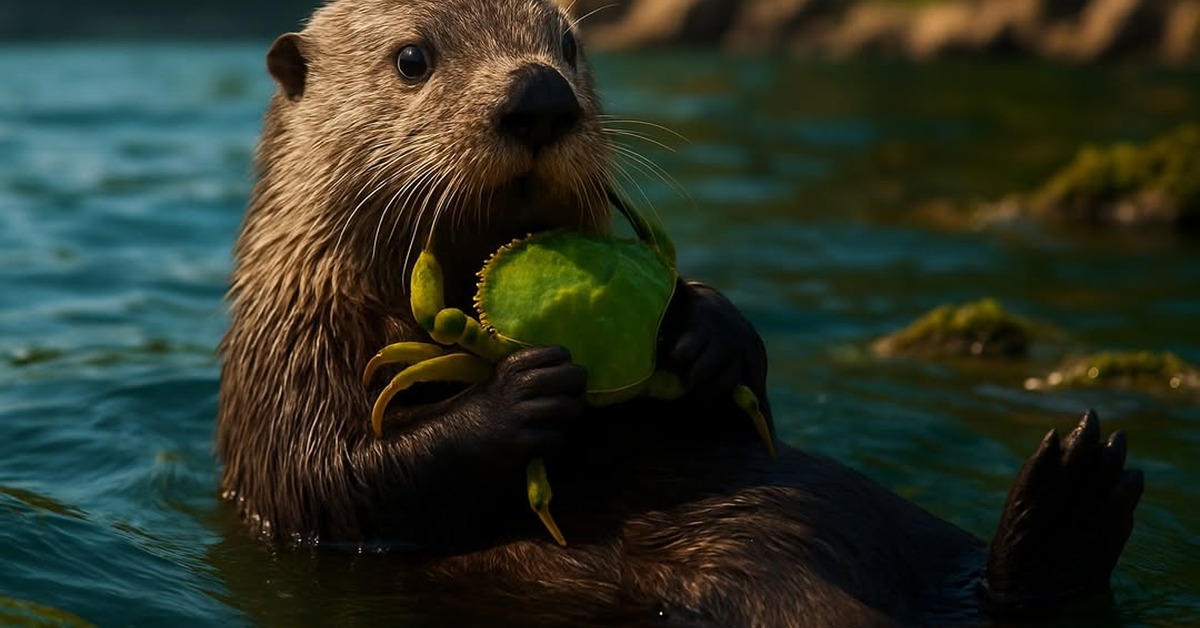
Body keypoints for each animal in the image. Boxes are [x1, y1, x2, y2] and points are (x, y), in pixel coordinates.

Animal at [216, 0, 1144, 625]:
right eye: (412, 58)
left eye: (568, 44)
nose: (539, 97)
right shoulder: (285, 365)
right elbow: (334, 476)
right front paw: (518, 397)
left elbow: (740, 421)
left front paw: (710, 332)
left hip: (920, 536)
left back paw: (1077, 492)